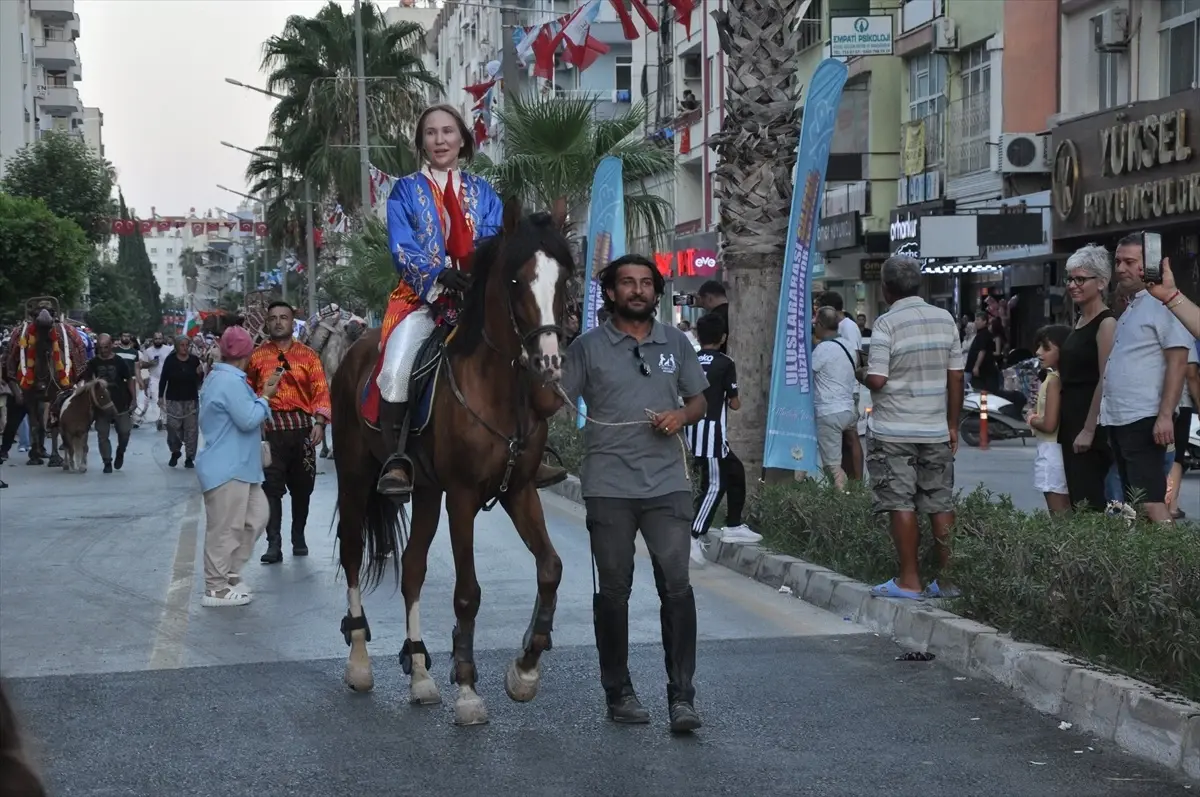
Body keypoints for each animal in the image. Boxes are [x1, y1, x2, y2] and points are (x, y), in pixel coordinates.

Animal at [328, 198, 571, 720]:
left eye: (564, 277)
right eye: (517, 280)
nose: (547, 363)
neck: (496, 387)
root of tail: (356, 348)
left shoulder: (519, 491)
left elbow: (550, 568)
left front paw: (525, 668)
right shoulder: (461, 496)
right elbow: (467, 593)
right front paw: (467, 687)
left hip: (424, 490)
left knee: (413, 568)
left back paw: (421, 673)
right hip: (355, 476)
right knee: (353, 552)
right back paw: (359, 663)